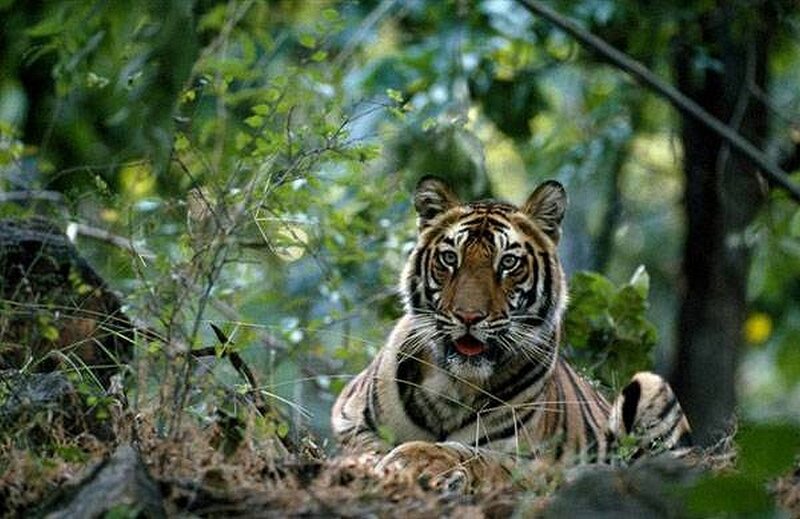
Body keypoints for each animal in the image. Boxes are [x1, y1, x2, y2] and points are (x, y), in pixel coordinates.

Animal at [332, 176, 692, 491]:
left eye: (508, 263)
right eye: (449, 258)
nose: (468, 316)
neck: (454, 387)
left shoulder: (533, 460)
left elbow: (474, 455)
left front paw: (416, 460)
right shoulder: (347, 418)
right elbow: (364, 445)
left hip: (650, 385)